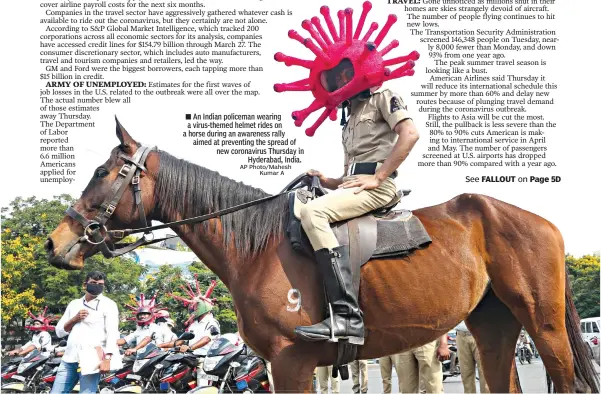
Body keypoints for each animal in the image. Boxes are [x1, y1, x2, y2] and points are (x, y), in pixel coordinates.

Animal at [45, 121, 596, 392]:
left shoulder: (291, 361)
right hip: (493, 322)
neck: (256, 247)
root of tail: (542, 222)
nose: (56, 242)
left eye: (103, 172)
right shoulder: (284, 366)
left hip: (544, 326)